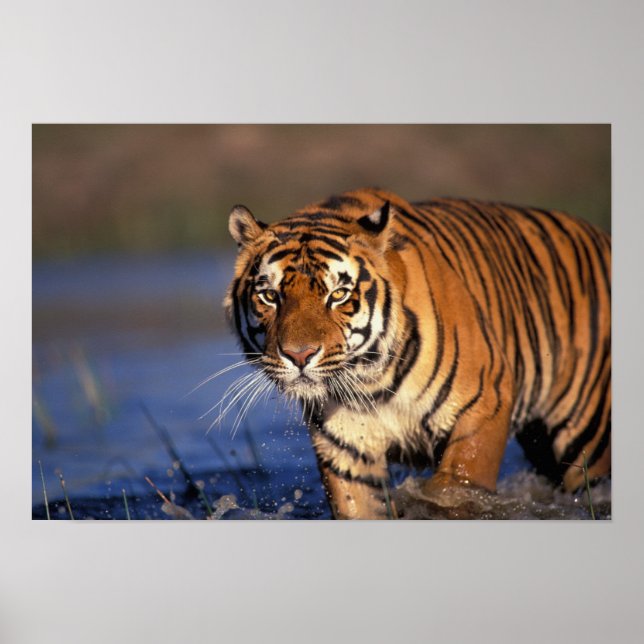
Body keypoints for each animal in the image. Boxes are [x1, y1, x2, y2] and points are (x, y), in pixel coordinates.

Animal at [224, 188, 611, 519]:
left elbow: (455, 489)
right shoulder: (346, 446)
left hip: (589, 439)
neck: (371, 382)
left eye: (338, 295)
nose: (299, 355)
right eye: (270, 296)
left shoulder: (485, 405)